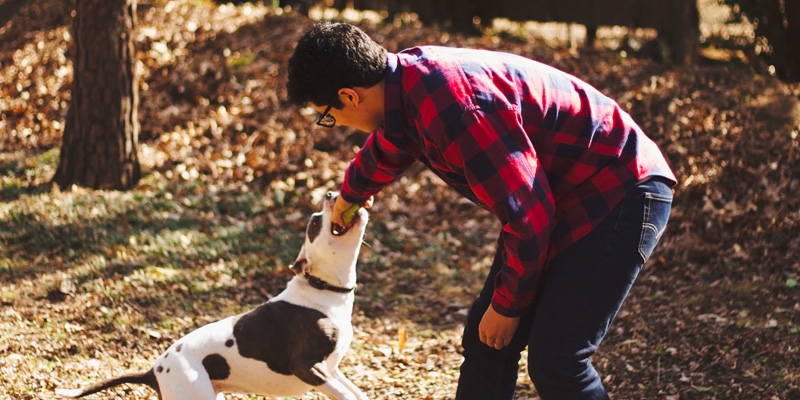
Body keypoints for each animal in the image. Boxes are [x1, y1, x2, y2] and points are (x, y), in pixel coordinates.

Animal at [56, 191, 368, 400]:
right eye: (315, 223)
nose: (331, 193)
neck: (322, 289)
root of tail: (154, 370)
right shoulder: (307, 366)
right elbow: (346, 396)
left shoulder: (331, 368)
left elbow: (357, 393)